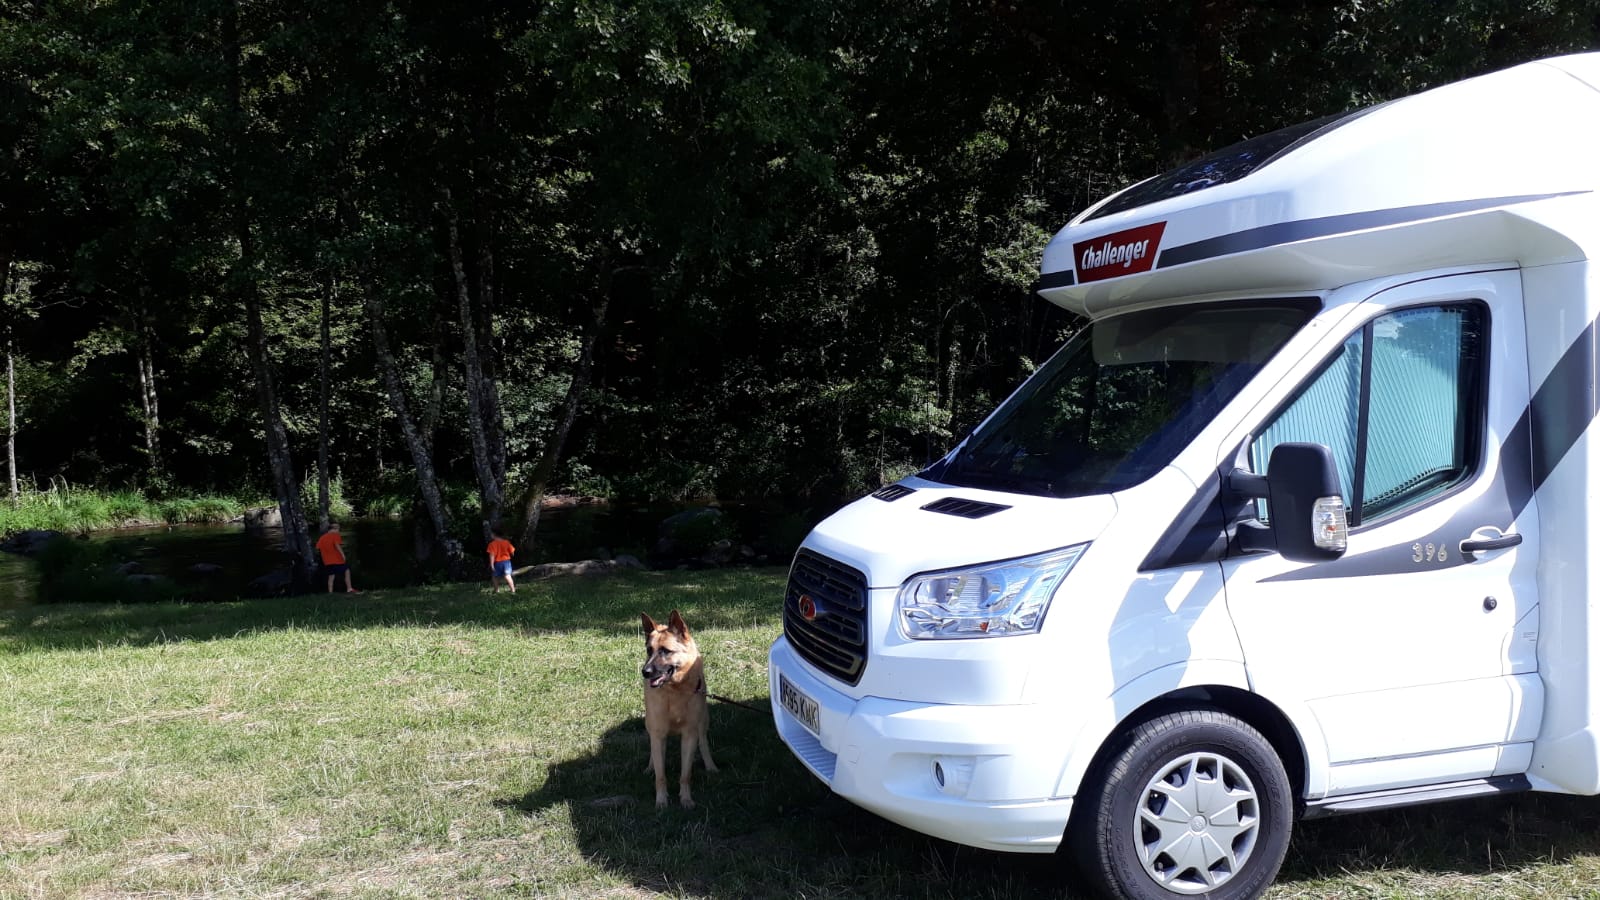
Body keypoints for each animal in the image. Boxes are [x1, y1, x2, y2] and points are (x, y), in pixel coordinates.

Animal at [636, 608, 720, 807]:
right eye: (649, 650)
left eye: (665, 651)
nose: (645, 672)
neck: (675, 691)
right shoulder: (658, 734)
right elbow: (661, 776)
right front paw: (661, 800)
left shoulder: (690, 735)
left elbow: (685, 774)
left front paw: (686, 798)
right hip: (650, 725)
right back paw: (650, 767)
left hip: (702, 722)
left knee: (703, 742)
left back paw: (710, 766)